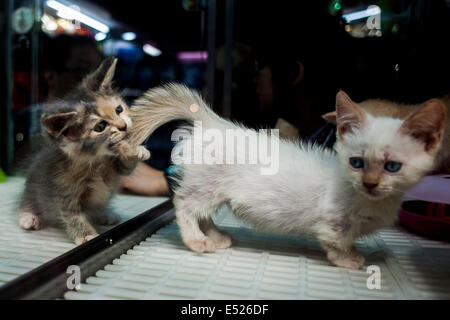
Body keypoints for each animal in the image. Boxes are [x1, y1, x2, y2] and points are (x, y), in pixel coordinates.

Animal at [18, 57, 149, 244]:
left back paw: (104, 214)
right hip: (33, 185)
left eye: (119, 109)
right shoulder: (63, 188)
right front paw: (86, 235)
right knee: (27, 200)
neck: (96, 160)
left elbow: (125, 167)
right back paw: (29, 217)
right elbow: (73, 215)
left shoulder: (116, 168)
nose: (123, 126)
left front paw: (135, 150)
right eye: (100, 126)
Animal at [128, 84, 444, 268]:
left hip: (210, 188)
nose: (371, 183)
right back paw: (196, 240)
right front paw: (350, 259)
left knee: (202, 212)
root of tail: (213, 122)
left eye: (392, 166)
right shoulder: (333, 222)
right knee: (184, 205)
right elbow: (337, 242)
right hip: (205, 186)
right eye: (356, 162)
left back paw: (216, 236)